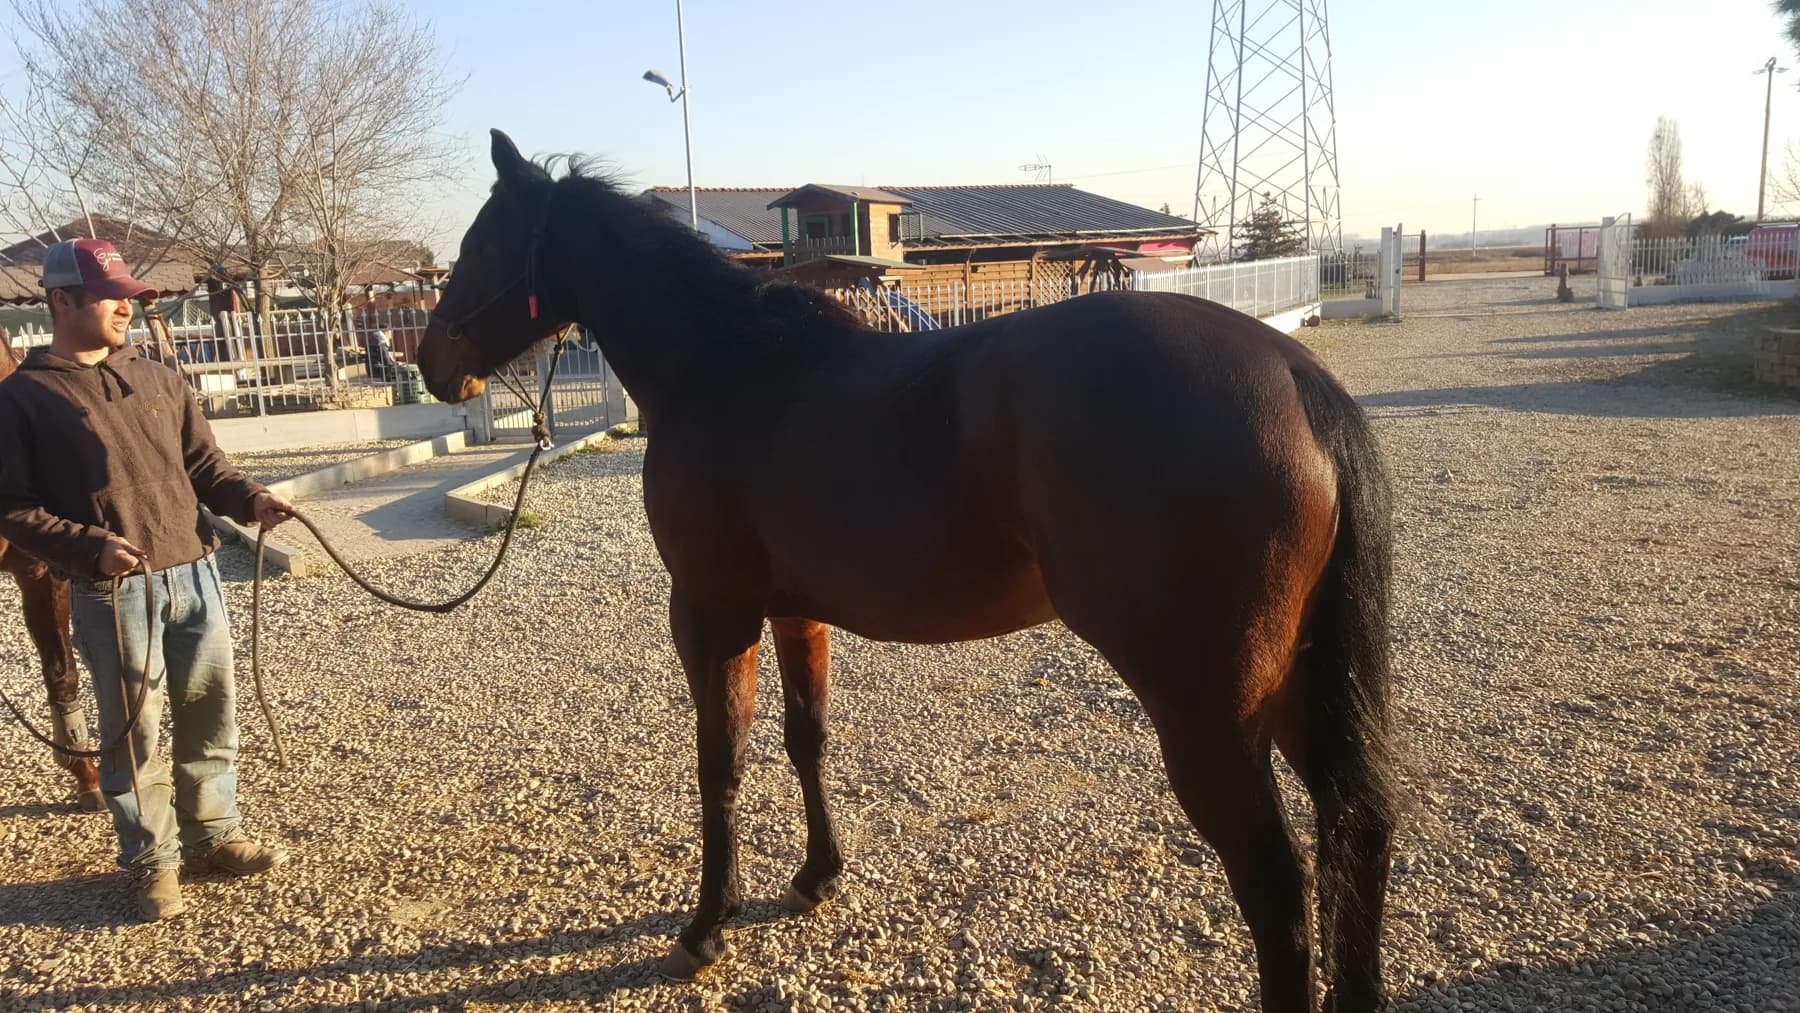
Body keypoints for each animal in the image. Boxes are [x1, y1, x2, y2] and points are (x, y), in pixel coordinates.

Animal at [417, 130, 1399, 1013]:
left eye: (478, 246)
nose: (433, 365)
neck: (728, 366)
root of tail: (1296, 376)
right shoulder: (794, 612)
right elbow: (805, 737)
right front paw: (817, 875)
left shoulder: (710, 613)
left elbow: (721, 761)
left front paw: (705, 927)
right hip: (1300, 690)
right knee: (1358, 838)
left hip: (1209, 712)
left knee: (1277, 890)